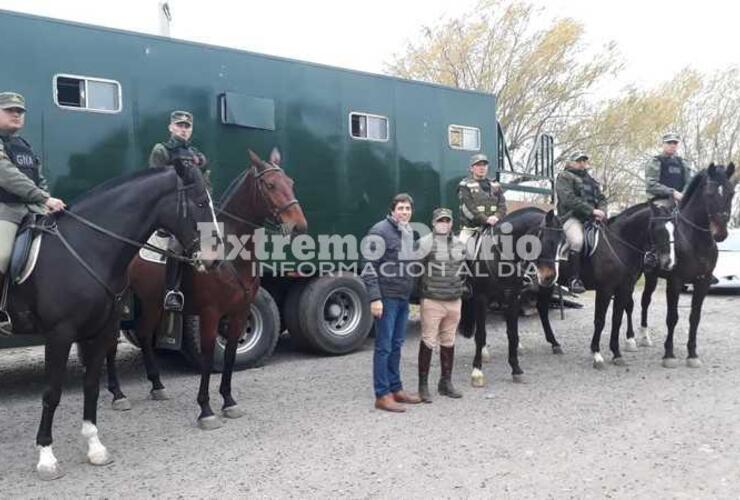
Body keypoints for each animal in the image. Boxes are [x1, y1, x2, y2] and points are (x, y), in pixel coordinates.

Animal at [7, 165, 217, 480]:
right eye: (201, 203)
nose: (216, 259)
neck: (89, 248)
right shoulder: (59, 334)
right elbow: (52, 393)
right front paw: (46, 457)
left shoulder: (100, 330)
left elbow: (92, 386)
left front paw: (95, 447)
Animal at [105, 148, 308, 430]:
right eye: (270, 185)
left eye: (290, 182)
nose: (299, 225)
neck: (231, 254)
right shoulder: (210, 314)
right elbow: (209, 354)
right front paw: (206, 409)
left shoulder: (238, 313)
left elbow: (231, 353)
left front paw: (229, 401)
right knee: (110, 342)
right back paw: (117, 394)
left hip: (153, 302)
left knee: (144, 334)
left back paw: (157, 385)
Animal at [460, 208, 564, 386]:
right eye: (546, 240)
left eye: (560, 242)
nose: (549, 278)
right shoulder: (481, 297)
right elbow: (480, 334)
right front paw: (477, 371)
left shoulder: (513, 297)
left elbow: (512, 333)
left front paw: (516, 368)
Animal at [536, 201, 672, 370]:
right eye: (658, 229)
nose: (665, 262)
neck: (619, 244)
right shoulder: (605, 290)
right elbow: (600, 320)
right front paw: (597, 355)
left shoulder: (624, 288)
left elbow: (617, 319)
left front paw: (617, 353)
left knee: (541, 307)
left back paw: (554, 344)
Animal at [624, 164, 736, 368]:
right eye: (709, 193)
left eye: (731, 192)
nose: (721, 233)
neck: (695, 240)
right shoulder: (675, 281)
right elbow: (672, 317)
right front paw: (669, 354)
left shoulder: (703, 282)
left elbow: (694, 318)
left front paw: (692, 354)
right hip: (633, 275)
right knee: (629, 303)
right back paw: (630, 340)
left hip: (651, 276)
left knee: (645, 301)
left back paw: (644, 337)